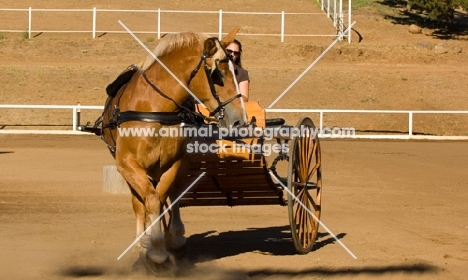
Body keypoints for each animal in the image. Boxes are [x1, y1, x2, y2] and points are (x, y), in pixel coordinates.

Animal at [97, 28, 247, 274]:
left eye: (236, 70)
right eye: (218, 74)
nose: (239, 121)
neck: (155, 108)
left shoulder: (176, 162)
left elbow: (163, 198)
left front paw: (164, 245)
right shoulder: (127, 163)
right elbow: (149, 201)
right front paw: (153, 250)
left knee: (170, 195)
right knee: (141, 202)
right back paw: (141, 247)